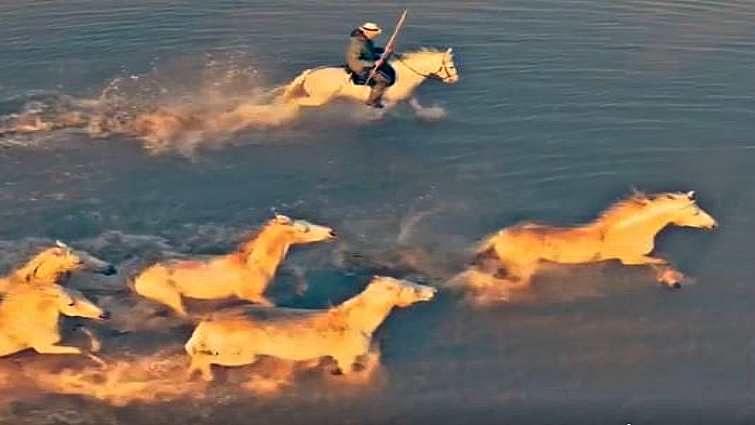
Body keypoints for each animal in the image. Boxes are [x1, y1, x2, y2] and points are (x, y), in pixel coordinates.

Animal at [131, 214, 337, 318]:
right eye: (304, 229)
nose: (331, 232)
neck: (252, 266)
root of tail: (139, 279)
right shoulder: (251, 295)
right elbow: (272, 305)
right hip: (173, 298)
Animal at [184, 276, 437, 381]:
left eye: (413, 282)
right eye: (413, 289)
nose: (432, 290)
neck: (357, 320)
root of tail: (208, 321)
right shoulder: (345, 354)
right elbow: (348, 369)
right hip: (240, 353)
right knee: (205, 357)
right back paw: (206, 375)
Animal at [274, 48, 458, 109]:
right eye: (450, 66)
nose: (455, 79)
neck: (405, 75)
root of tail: (309, 73)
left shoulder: (406, 97)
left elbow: (416, 105)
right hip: (318, 99)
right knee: (295, 102)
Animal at [462, 190, 717, 295]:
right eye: (695, 212)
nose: (714, 225)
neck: (631, 229)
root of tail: (500, 235)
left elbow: (660, 262)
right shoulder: (630, 259)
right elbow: (663, 261)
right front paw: (672, 280)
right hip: (520, 266)